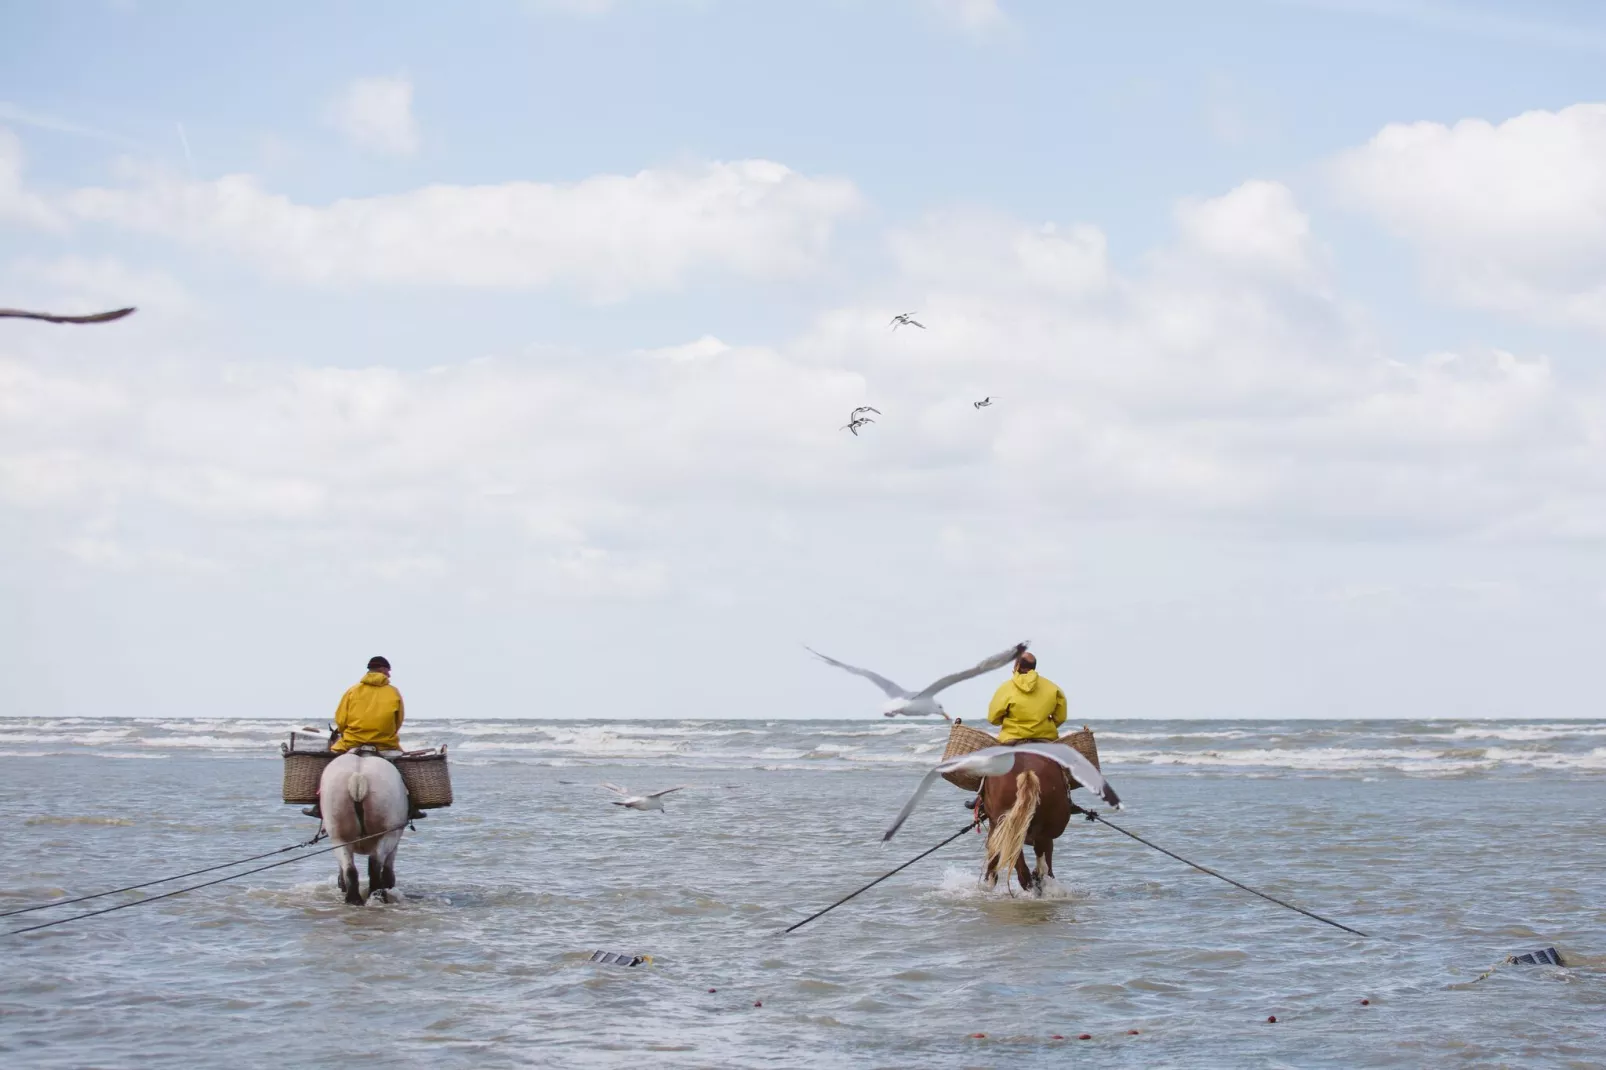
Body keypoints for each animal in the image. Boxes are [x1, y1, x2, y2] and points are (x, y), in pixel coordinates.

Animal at [316, 748, 407, 899]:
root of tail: (358, 776)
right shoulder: (395, 837)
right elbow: (388, 867)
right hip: (388, 832)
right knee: (375, 864)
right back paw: (378, 894)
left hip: (338, 834)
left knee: (350, 869)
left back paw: (354, 899)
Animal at [970, 748, 1072, 893]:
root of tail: (1027, 772)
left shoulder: (996, 823)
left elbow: (992, 846)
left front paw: (989, 879)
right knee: (1037, 850)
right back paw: (1037, 879)